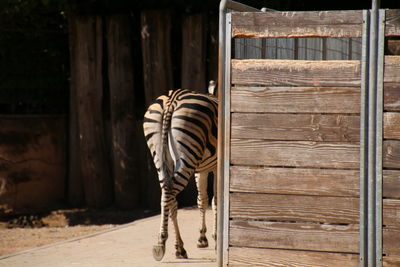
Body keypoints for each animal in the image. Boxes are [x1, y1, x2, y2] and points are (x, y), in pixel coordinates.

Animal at [144, 83, 217, 262]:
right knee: (170, 194)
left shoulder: (201, 170)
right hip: (187, 156)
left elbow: (202, 200)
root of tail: (172, 99)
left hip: (161, 157)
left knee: (167, 195)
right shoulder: (215, 166)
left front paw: (202, 238)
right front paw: (214, 236)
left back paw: (178, 247)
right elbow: (214, 201)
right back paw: (162, 243)